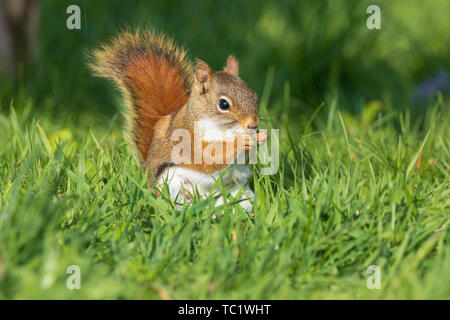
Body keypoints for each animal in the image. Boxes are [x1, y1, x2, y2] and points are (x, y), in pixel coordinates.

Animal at [89, 29, 266, 210]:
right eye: (223, 104)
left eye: (254, 95)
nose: (253, 124)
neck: (226, 130)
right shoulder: (187, 139)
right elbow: (208, 158)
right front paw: (241, 141)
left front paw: (261, 137)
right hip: (173, 185)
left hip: (240, 192)